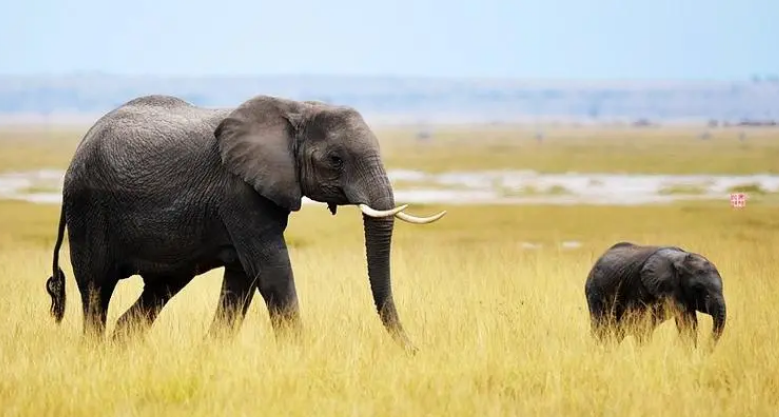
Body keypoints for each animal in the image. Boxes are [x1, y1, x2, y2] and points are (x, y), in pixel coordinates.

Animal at [44, 94, 446, 353]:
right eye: (335, 159)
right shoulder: (239, 191)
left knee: (158, 290)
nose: (414, 351)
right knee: (96, 289)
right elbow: (271, 266)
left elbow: (242, 277)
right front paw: (300, 355)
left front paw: (213, 354)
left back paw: (121, 347)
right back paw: (95, 352)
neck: (296, 108)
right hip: (88, 209)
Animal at [584, 241, 726, 347]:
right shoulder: (641, 289)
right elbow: (642, 326)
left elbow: (688, 325)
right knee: (602, 328)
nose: (706, 349)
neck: (679, 258)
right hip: (596, 293)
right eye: (698, 288)